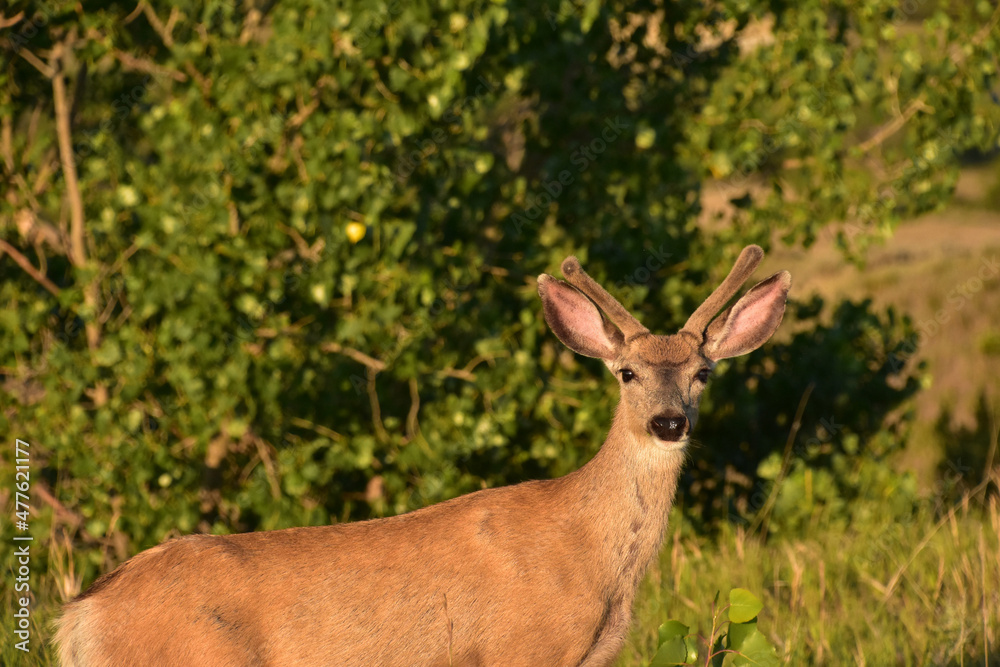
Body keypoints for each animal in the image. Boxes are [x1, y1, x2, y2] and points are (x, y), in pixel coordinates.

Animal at [56, 245, 788, 667]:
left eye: (703, 373)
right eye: (627, 372)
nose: (669, 422)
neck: (596, 560)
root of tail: (81, 617)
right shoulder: (521, 649)